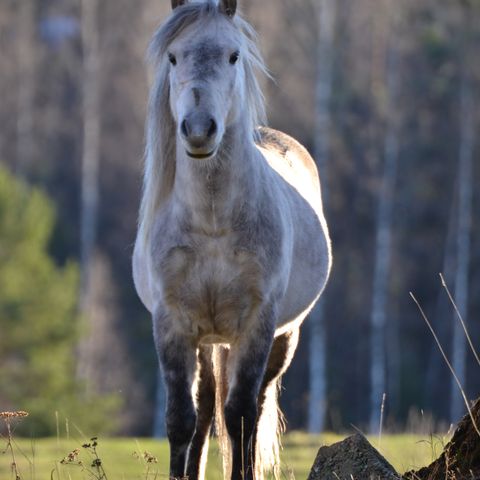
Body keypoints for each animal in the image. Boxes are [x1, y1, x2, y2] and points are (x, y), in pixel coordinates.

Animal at [133, 1, 332, 478]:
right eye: (173, 57)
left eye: (233, 56)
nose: (198, 129)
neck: (212, 223)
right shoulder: (172, 325)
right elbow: (181, 419)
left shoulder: (256, 325)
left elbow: (240, 416)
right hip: (207, 341)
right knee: (205, 406)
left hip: (282, 338)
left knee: (252, 406)